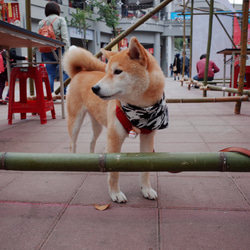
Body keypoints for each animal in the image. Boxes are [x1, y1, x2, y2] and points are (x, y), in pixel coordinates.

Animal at [62, 36, 168, 203]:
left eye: (117, 72)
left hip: (97, 124)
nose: (94, 88)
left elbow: (146, 169)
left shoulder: (147, 137)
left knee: (92, 141)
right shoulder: (114, 138)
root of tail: (80, 72)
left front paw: (146, 190)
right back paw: (73, 162)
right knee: (73, 143)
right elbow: (114, 172)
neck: (142, 109)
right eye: (106, 72)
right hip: (75, 121)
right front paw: (115, 193)